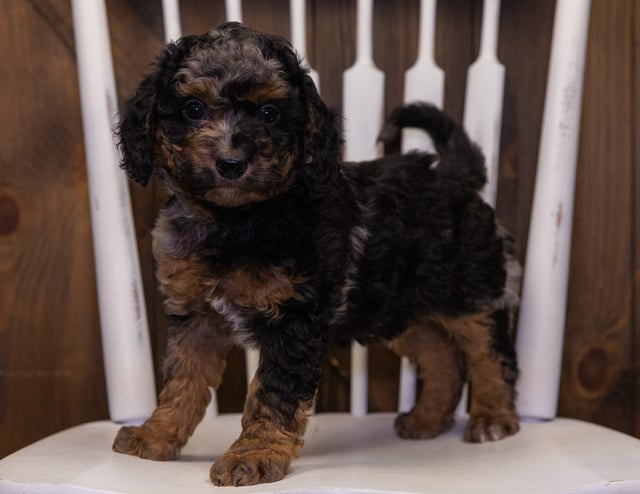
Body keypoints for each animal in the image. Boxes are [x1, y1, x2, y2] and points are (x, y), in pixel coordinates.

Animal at [115, 22, 524, 486]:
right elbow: (182, 379)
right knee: (441, 356)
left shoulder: (295, 317)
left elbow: (272, 393)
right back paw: (428, 418)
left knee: (489, 351)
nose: (231, 162)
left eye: (270, 114)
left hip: (470, 289)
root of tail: (455, 176)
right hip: (395, 306)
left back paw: (493, 417)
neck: (237, 220)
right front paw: (156, 434)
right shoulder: (195, 317)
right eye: (193, 108)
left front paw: (253, 455)